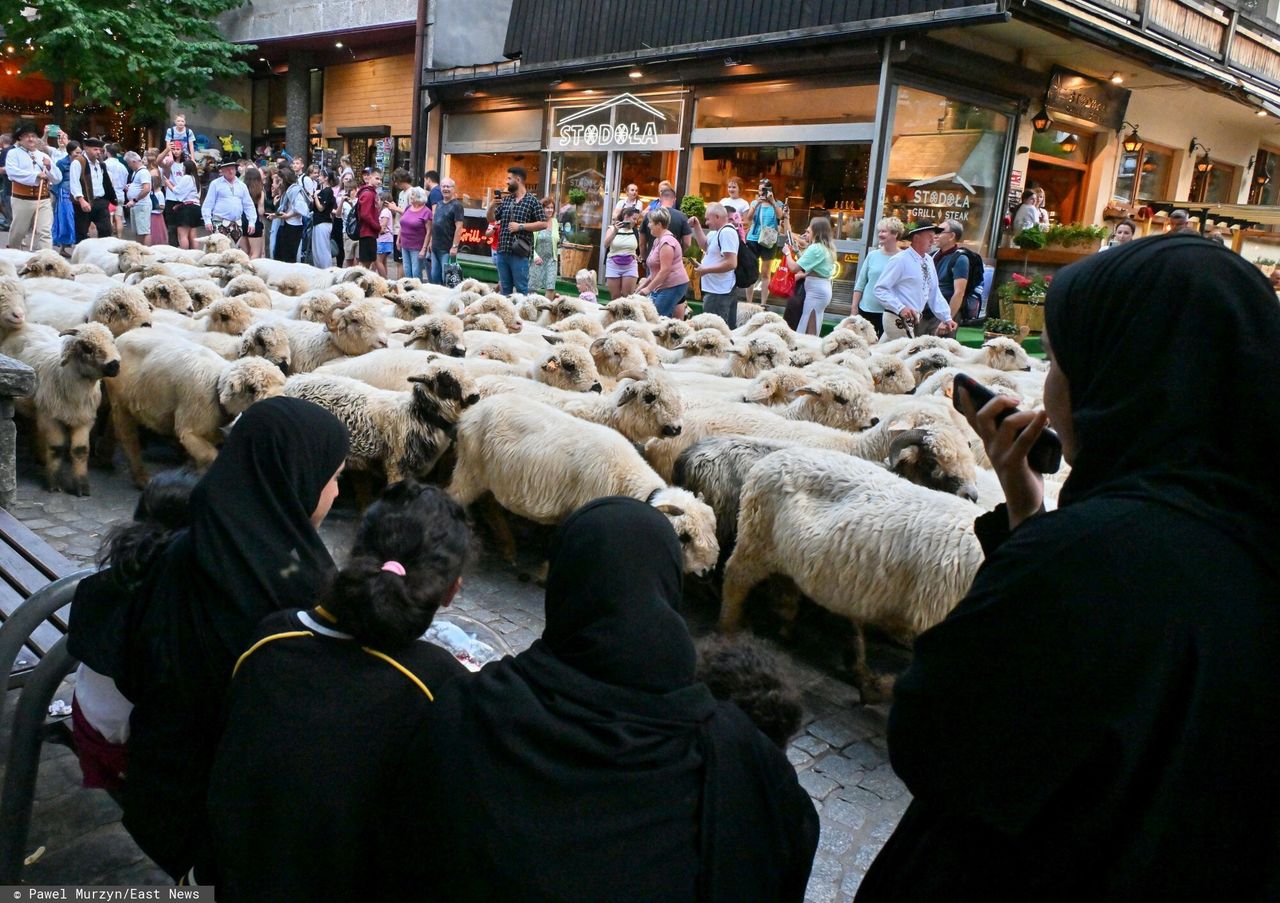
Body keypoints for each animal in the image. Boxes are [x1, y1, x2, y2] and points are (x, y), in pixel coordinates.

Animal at [2, 322, 119, 491]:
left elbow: (81, 450)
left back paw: (41, 457)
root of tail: (26, 325)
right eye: (87, 348)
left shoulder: (84, 419)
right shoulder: (51, 418)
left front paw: (82, 486)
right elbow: (56, 448)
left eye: (112, 341)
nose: (114, 365)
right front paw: (54, 483)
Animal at [727, 448, 983, 696]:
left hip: (786, 555)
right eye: (932, 463)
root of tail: (773, 457)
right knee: (735, 578)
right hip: (756, 537)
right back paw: (728, 629)